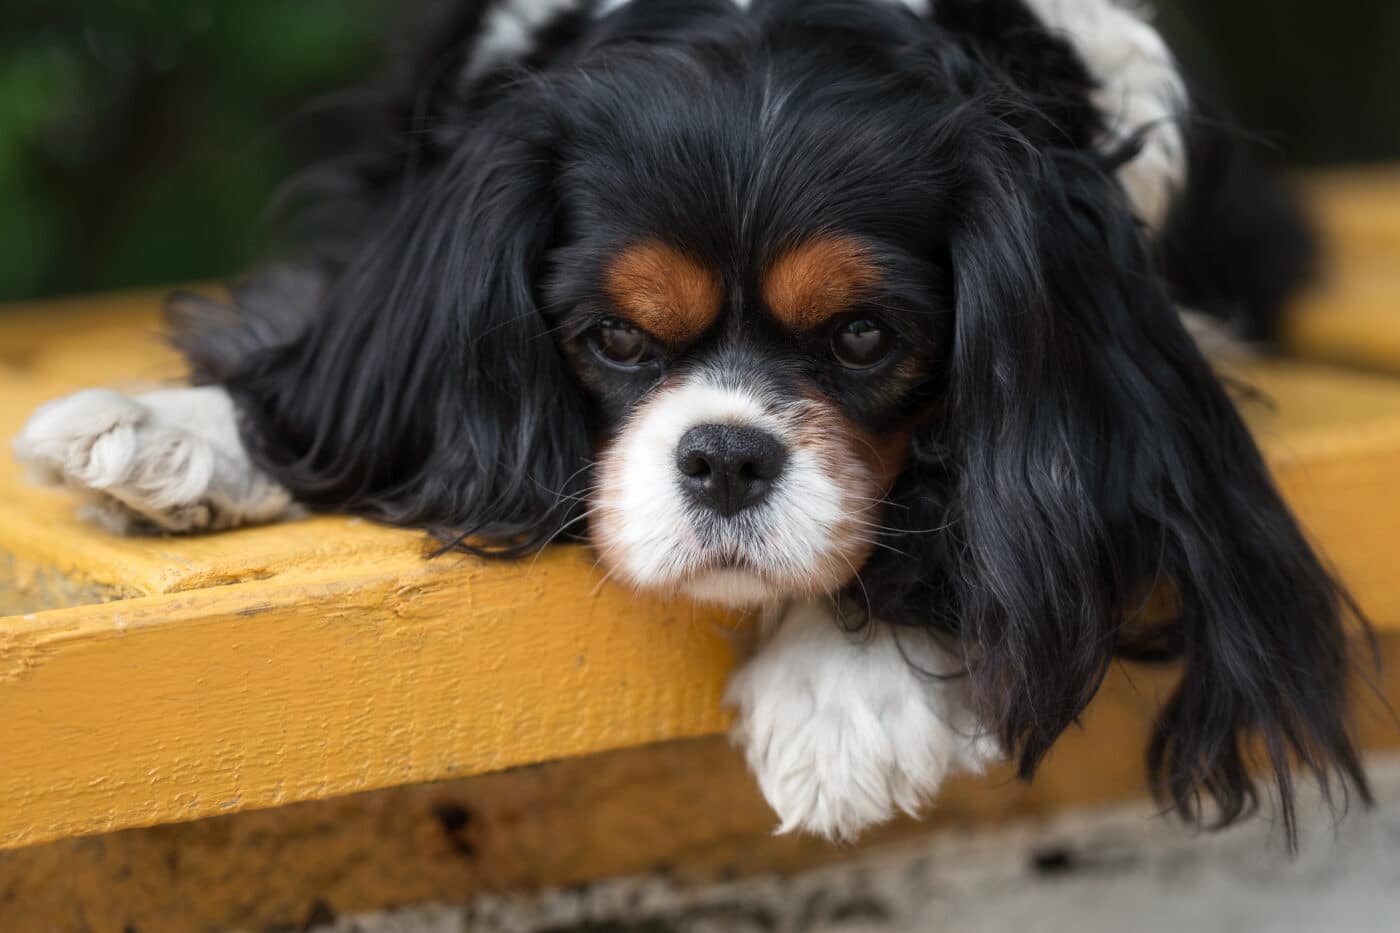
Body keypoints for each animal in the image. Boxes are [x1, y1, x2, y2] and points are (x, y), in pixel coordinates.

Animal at [10, 0, 1366, 840]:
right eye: (614, 338)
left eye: (862, 338)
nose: (723, 458)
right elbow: (337, 367)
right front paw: (173, 428)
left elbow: (976, 518)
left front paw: (842, 688)